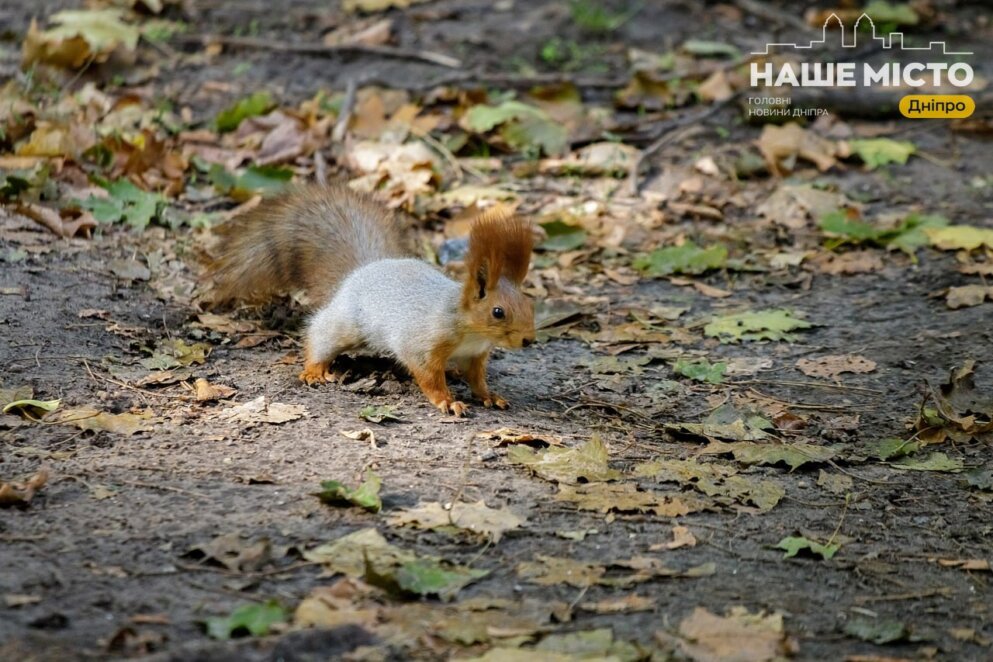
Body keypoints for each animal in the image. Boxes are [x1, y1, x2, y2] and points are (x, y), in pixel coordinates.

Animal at [205, 184, 540, 418]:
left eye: (530, 305)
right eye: (498, 311)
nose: (529, 341)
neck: (468, 328)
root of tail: (361, 270)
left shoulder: (475, 355)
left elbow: (476, 379)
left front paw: (488, 395)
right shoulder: (423, 342)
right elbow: (428, 376)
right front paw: (447, 401)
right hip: (349, 323)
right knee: (322, 332)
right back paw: (314, 369)